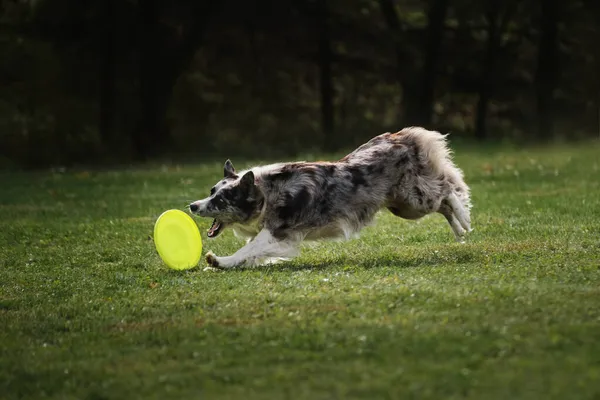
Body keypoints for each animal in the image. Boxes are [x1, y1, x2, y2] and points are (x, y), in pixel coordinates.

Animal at [190, 127, 472, 268]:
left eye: (222, 200)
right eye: (211, 192)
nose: (192, 205)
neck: (266, 193)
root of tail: (400, 136)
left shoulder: (278, 232)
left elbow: (248, 248)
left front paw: (219, 260)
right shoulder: (278, 236)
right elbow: (251, 254)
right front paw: (227, 264)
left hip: (414, 200)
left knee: (449, 189)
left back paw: (465, 219)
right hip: (403, 206)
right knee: (444, 203)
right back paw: (460, 230)